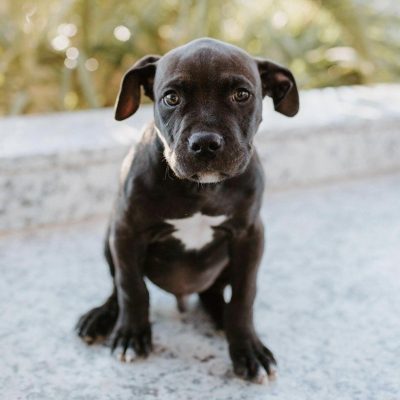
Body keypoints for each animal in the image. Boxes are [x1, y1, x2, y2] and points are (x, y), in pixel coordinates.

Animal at [76, 37, 298, 382]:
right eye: (171, 98)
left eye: (242, 95)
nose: (205, 143)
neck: (201, 190)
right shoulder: (127, 230)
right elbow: (131, 287)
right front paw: (131, 334)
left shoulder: (249, 235)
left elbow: (244, 295)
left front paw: (248, 348)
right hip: (109, 237)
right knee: (117, 285)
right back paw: (102, 316)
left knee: (215, 294)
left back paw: (222, 318)